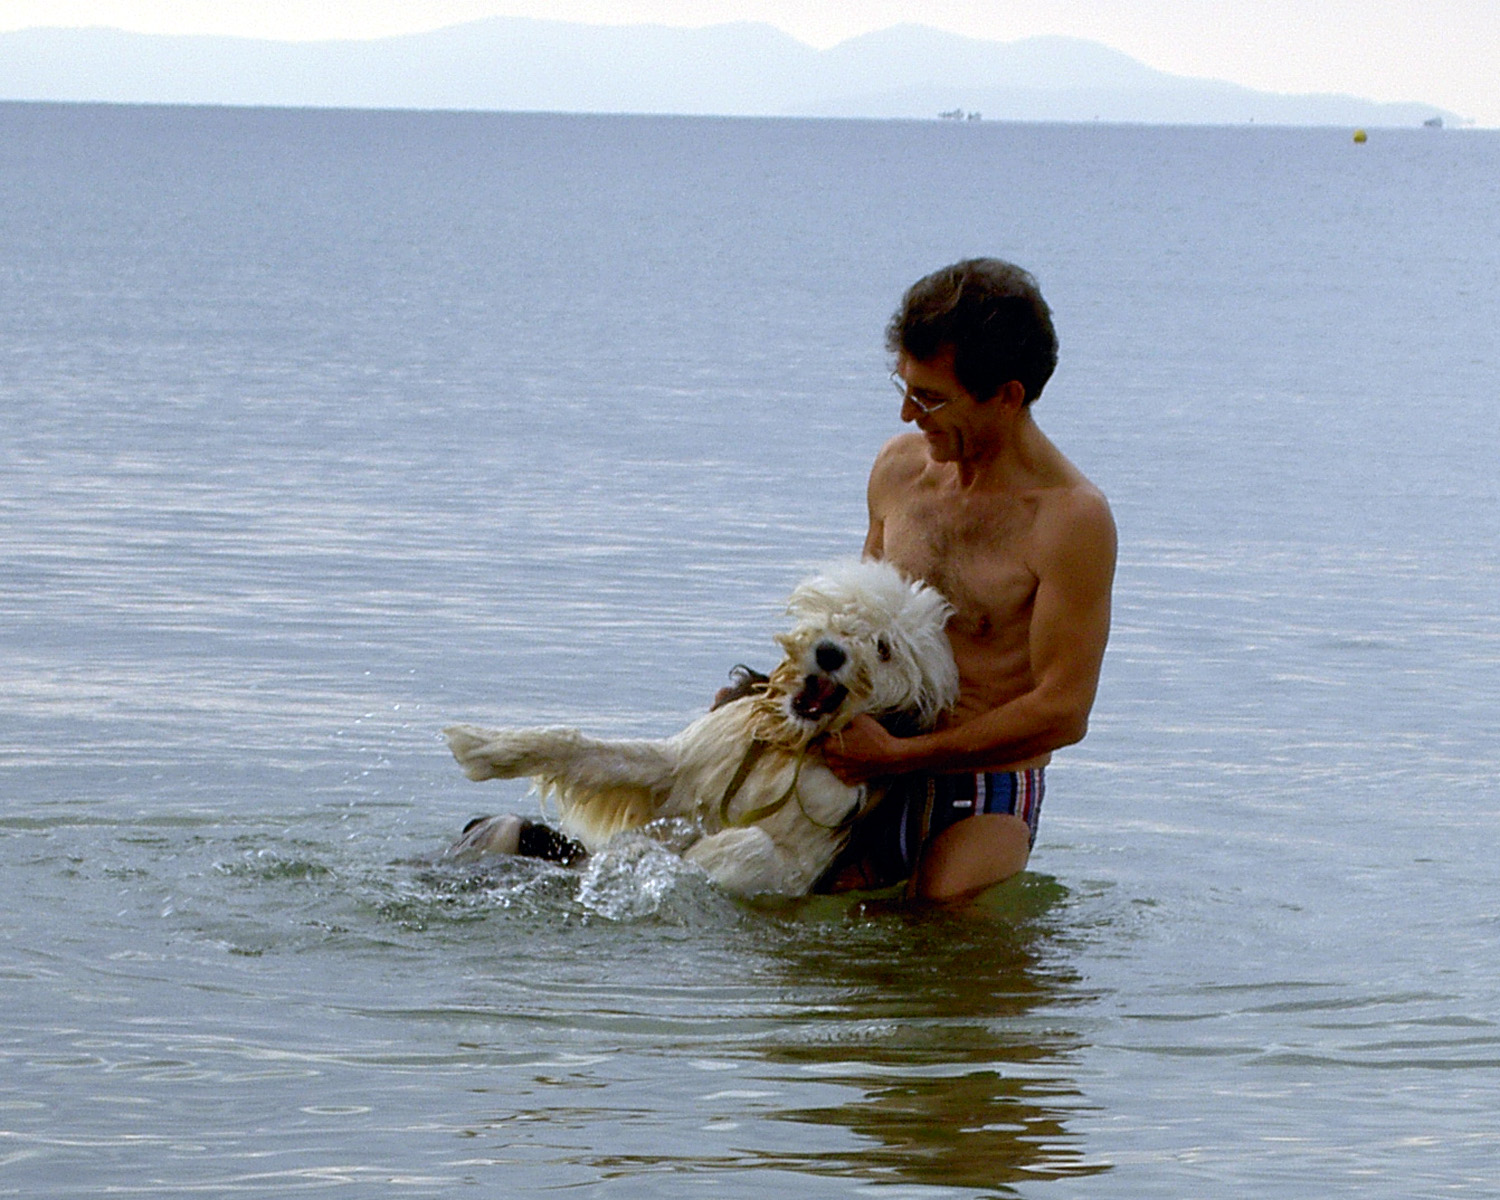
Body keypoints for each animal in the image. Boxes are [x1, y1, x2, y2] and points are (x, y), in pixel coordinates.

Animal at [442, 559, 958, 897]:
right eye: (836, 613)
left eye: (884, 647)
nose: (830, 653)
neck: (790, 748)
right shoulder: (682, 764)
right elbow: (581, 748)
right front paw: (485, 747)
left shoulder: (801, 865)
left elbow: (749, 846)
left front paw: (655, 858)